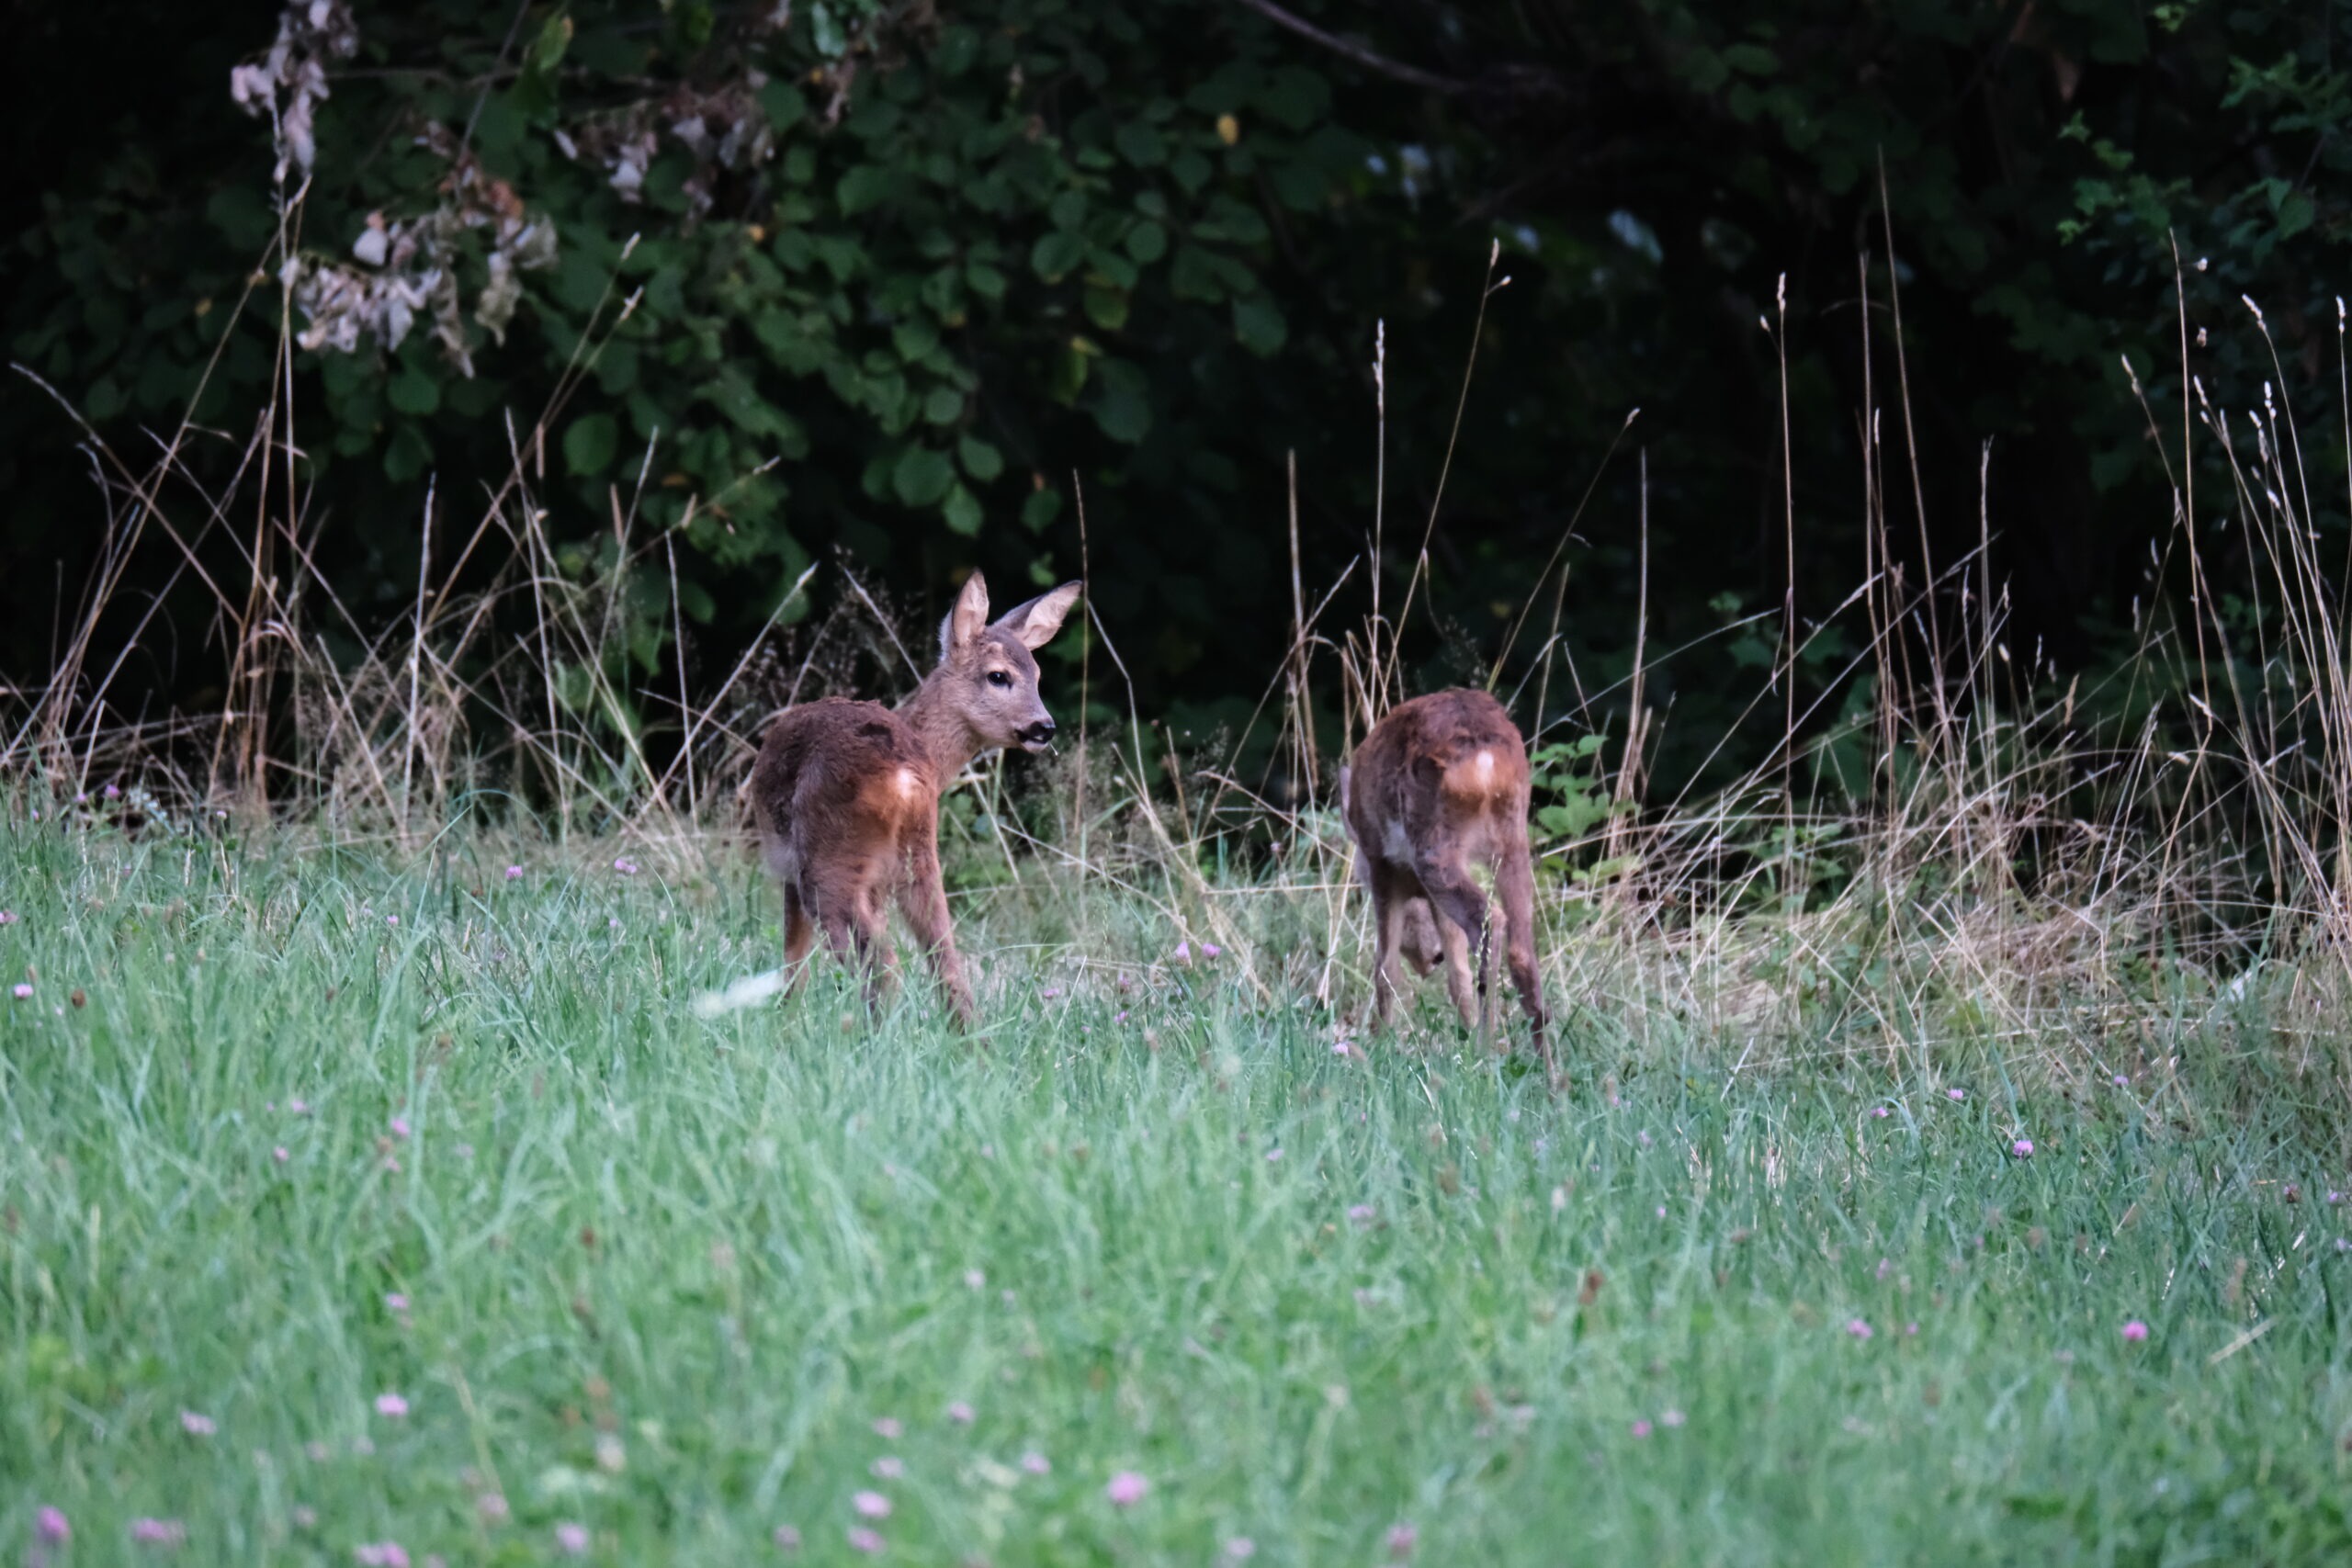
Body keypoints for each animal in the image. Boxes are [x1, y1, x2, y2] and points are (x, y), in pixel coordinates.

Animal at [742, 570, 1082, 1028]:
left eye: (1038, 676)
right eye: (999, 676)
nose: (1043, 727)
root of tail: (904, 774)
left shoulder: (790, 869)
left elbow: (794, 956)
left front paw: (783, 1019)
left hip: (827, 859)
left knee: (882, 964)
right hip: (918, 857)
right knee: (946, 959)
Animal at [1339, 689, 1550, 1074]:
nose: (1429, 958)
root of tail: (1485, 759)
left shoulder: (1381, 864)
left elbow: (1386, 967)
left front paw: (1381, 1047)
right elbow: (1458, 976)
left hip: (1434, 847)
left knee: (1490, 920)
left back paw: (1486, 1051)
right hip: (1512, 836)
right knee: (1522, 951)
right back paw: (1550, 1077)